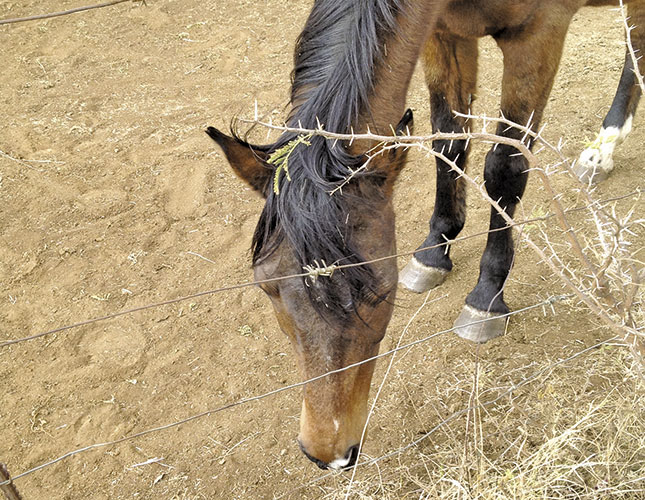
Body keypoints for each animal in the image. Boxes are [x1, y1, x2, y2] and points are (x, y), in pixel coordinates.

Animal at [209, 0, 640, 468]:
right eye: (267, 286)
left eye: (378, 291)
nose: (327, 452)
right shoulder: (445, 35)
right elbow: (448, 140)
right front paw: (436, 249)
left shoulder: (538, 36)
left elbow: (505, 166)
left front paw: (487, 294)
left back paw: (602, 149)